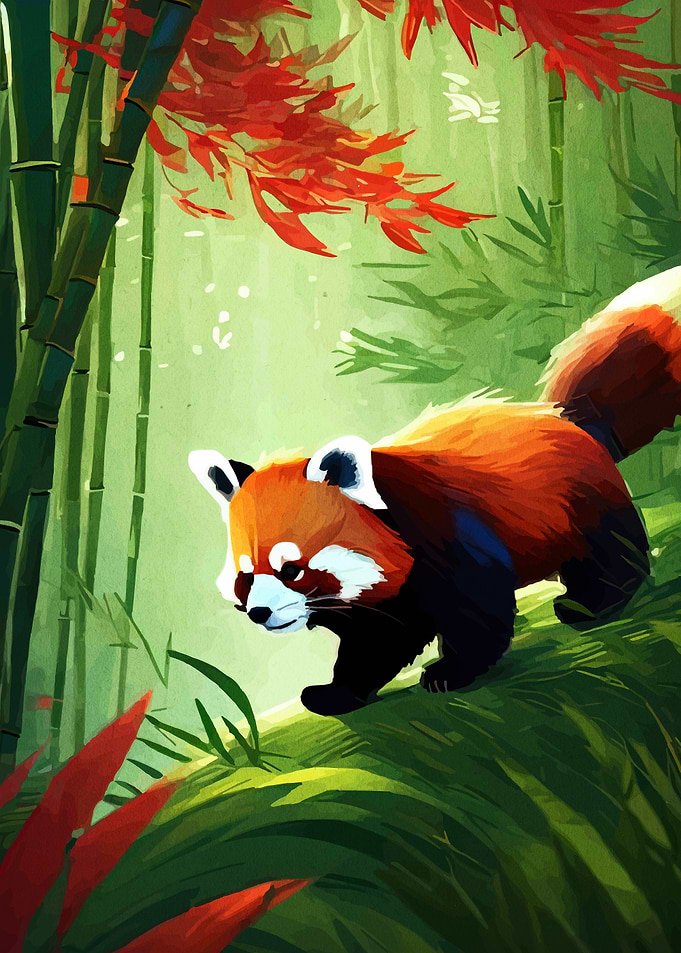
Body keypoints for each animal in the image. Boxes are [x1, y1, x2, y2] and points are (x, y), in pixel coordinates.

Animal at [189, 266, 681, 715]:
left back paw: (593, 604)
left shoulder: (445, 536)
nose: (259, 613)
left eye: (291, 569)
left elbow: (478, 611)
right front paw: (337, 693)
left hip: (587, 503)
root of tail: (568, 417)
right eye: (246, 576)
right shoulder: (383, 604)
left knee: (611, 554)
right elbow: (376, 644)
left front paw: (452, 673)